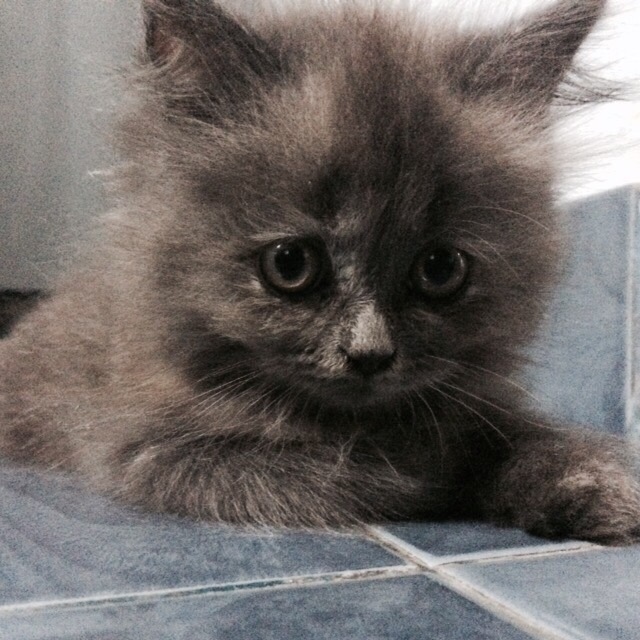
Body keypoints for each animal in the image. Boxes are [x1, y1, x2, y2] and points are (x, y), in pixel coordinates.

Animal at [1, 0, 639, 543]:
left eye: (440, 268)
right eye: (290, 264)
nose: (369, 354)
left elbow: (518, 431)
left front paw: (588, 483)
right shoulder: (150, 448)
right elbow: (344, 473)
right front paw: (436, 466)